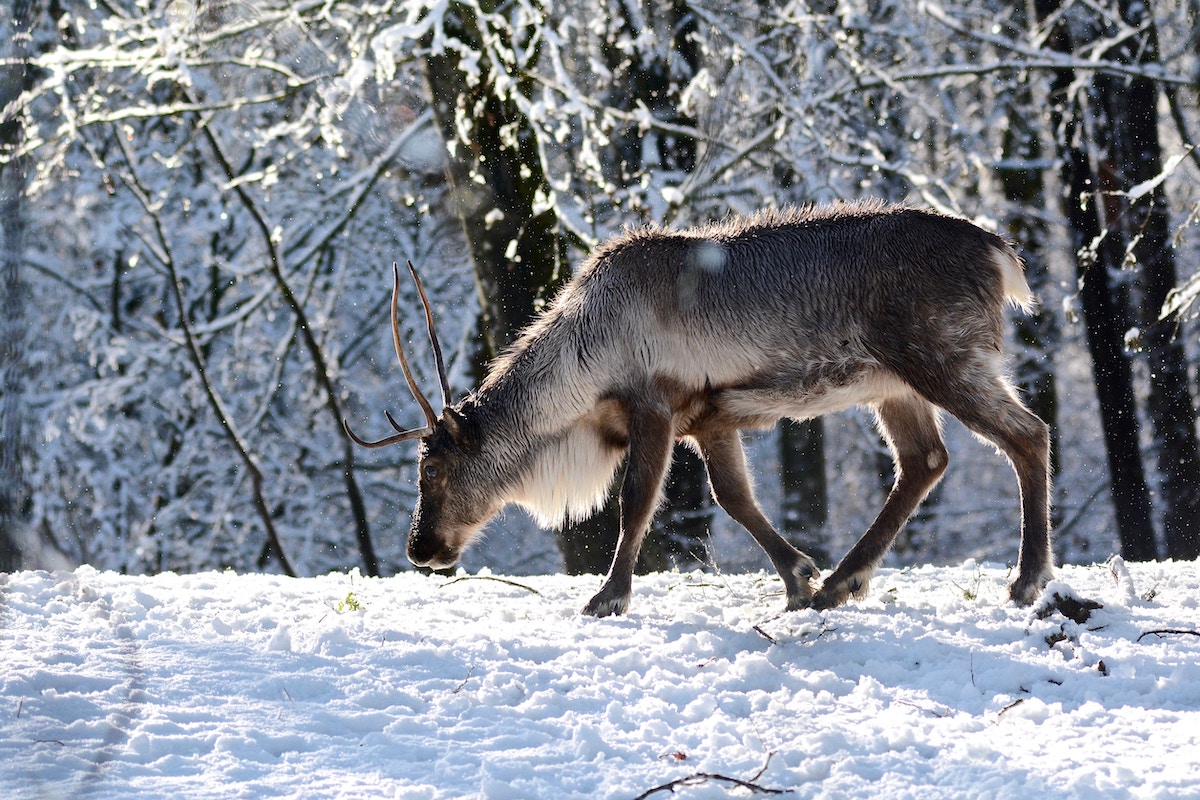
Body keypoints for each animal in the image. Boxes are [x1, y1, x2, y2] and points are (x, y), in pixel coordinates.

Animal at [344, 201, 1053, 617]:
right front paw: (798, 578)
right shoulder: (711, 420)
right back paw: (840, 583)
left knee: (1028, 434)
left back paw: (1026, 580)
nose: (419, 547)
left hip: (942, 357)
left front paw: (609, 596)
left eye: (432, 469)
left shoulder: (655, 405)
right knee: (924, 461)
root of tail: (1002, 253)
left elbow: (635, 504)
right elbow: (735, 498)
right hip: (893, 385)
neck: (580, 385)